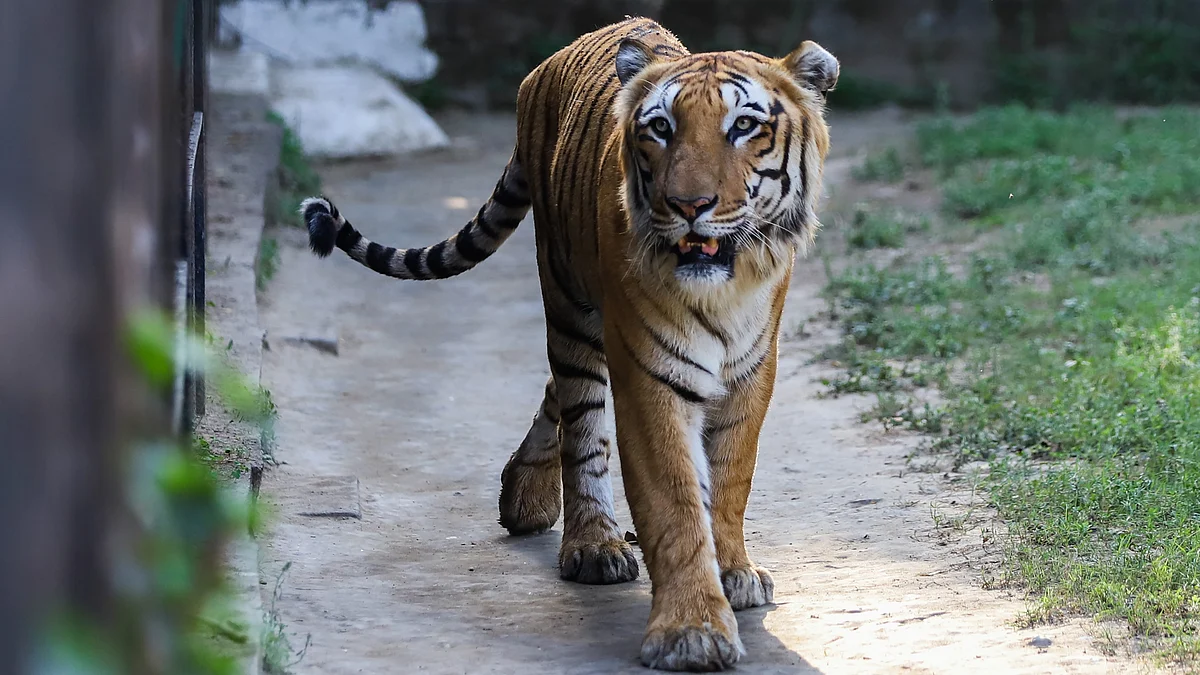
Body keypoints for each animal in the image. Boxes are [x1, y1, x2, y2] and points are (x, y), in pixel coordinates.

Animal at [300, 16, 837, 671]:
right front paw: (691, 632)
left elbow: (732, 479)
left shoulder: (752, 372)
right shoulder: (649, 371)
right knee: (581, 424)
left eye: (743, 126)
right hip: (571, 306)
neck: (723, 290)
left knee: (558, 395)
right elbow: (675, 500)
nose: (688, 206)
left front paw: (734, 572)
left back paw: (523, 496)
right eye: (661, 128)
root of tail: (551, 62)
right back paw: (591, 544)